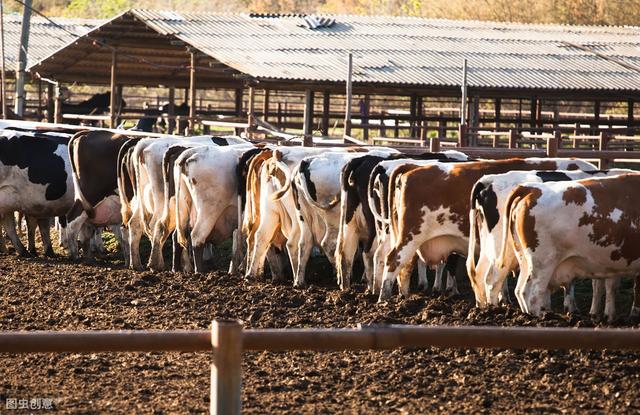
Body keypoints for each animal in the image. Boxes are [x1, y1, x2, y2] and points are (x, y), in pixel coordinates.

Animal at [468, 169, 632, 312]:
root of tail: (489, 181)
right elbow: (610, 284)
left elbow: (597, 283)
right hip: (504, 252)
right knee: (493, 281)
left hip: (489, 247)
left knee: (480, 276)